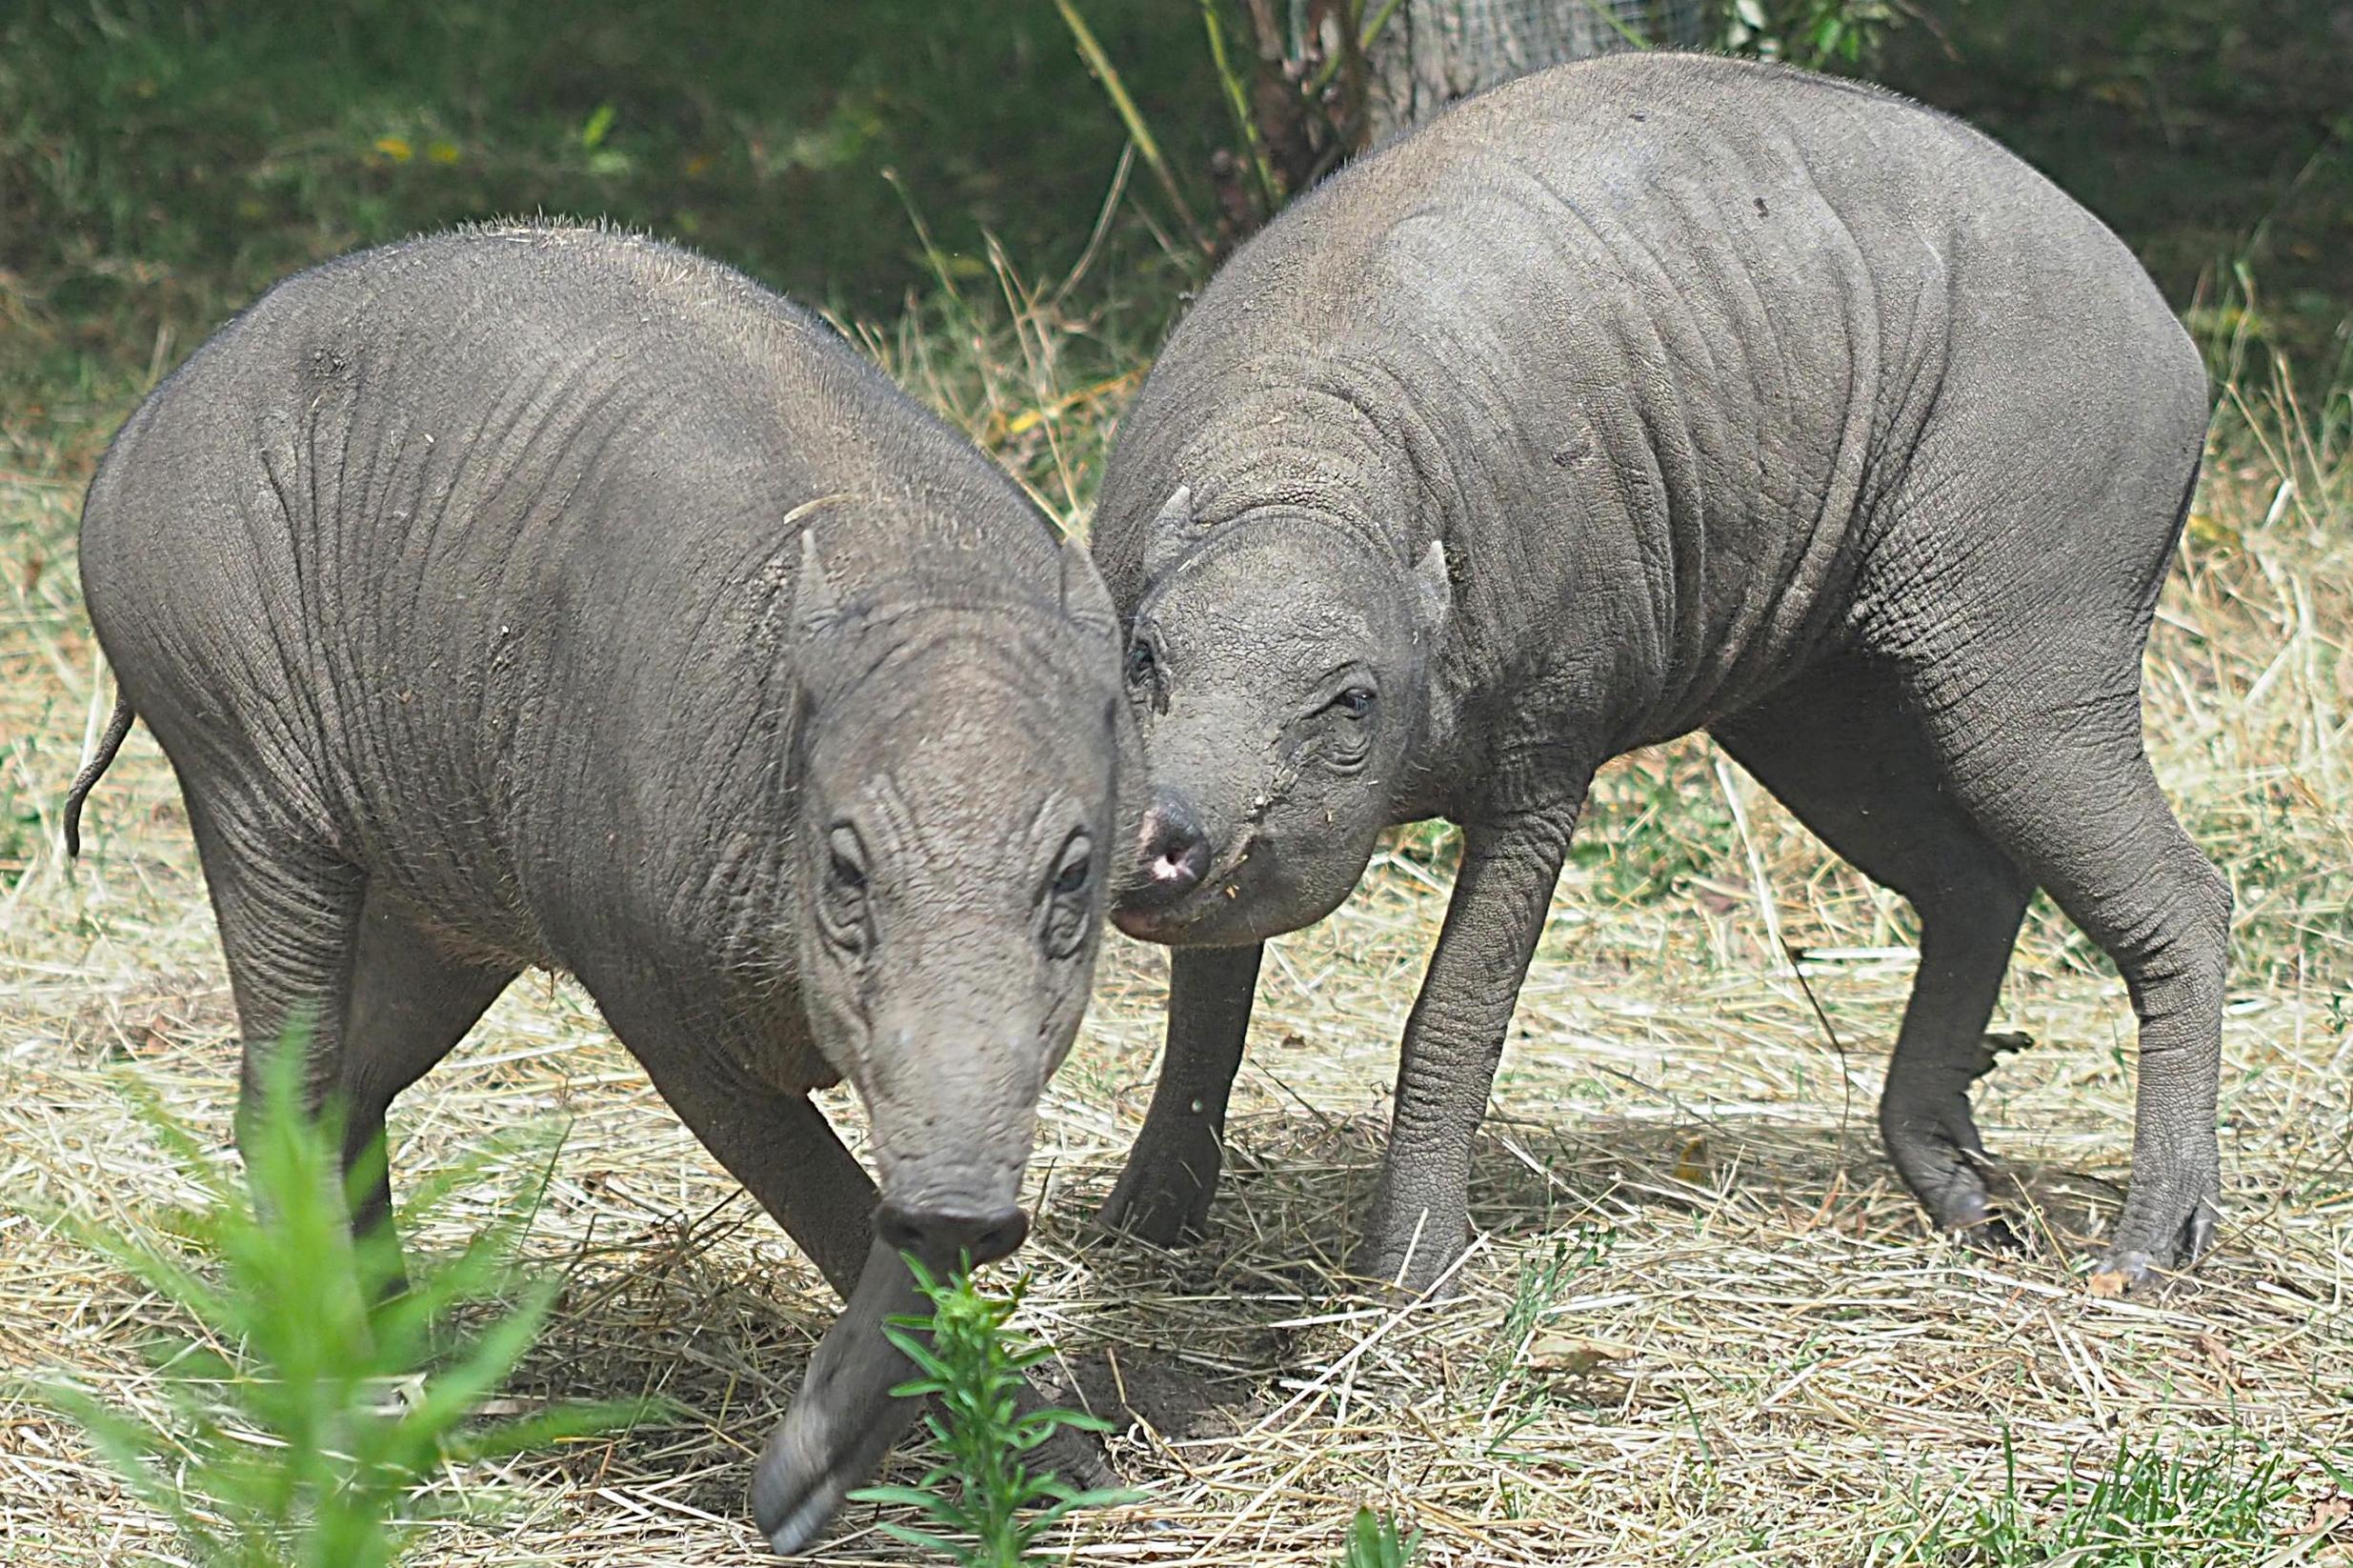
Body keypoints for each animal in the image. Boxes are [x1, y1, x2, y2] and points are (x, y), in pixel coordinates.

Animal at [63, 223, 1129, 1553]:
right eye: (844, 865)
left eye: (1072, 872)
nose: (971, 1210)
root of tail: (131, 435)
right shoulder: (651, 988)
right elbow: (827, 1195)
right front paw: (793, 1499)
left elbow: (902, 1185)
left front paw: (1069, 1467)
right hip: (248, 781)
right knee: (282, 1093)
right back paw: (355, 1397)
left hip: (442, 904)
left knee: (356, 1084)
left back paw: (414, 1364)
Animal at [1087, 54, 2220, 1298]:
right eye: (1143, 656)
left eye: (1352, 702)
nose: (1161, 831)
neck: (1307, 472)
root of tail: (2172, 328)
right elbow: (1205, 1010)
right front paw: (1145, 1219)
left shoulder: (1543, 772)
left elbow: (1452, 1020)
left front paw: (1414, 1269)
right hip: (1814, 708)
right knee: (1974, 885)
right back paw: (1956, 1187)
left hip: (2025, 664)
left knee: (2181, 897)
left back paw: (2153, 1238)